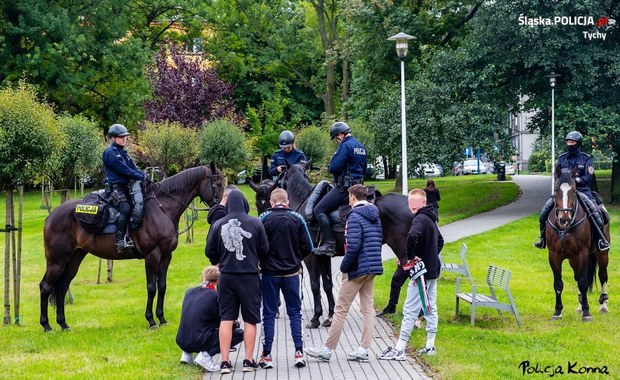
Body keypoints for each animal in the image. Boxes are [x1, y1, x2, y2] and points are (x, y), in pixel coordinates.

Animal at [39, 165, 223, 332]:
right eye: (219, 183)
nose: (220, 206)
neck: (162, 208)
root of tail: (51, 216)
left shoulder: (166, 256)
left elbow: (162, 286)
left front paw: (162, 319)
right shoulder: (152, 256)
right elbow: (151, 287)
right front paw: (151, 321)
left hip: (74, 259)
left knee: (62, 287)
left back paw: (63, 324)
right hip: (57, 260)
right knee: (45, 287)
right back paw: (47, 326)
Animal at [548, 168, 612, 320]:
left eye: (573, 189)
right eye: (556, 189)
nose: (564, 218)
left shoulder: (582, 254)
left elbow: (583, 283)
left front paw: (587, 313)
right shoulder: (553, 255)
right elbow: (558, 284)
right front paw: (557, 312)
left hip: (602, 254)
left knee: (602, 275)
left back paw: (603, 306)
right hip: (573, 260)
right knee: (577, 277)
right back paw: (579, 306)